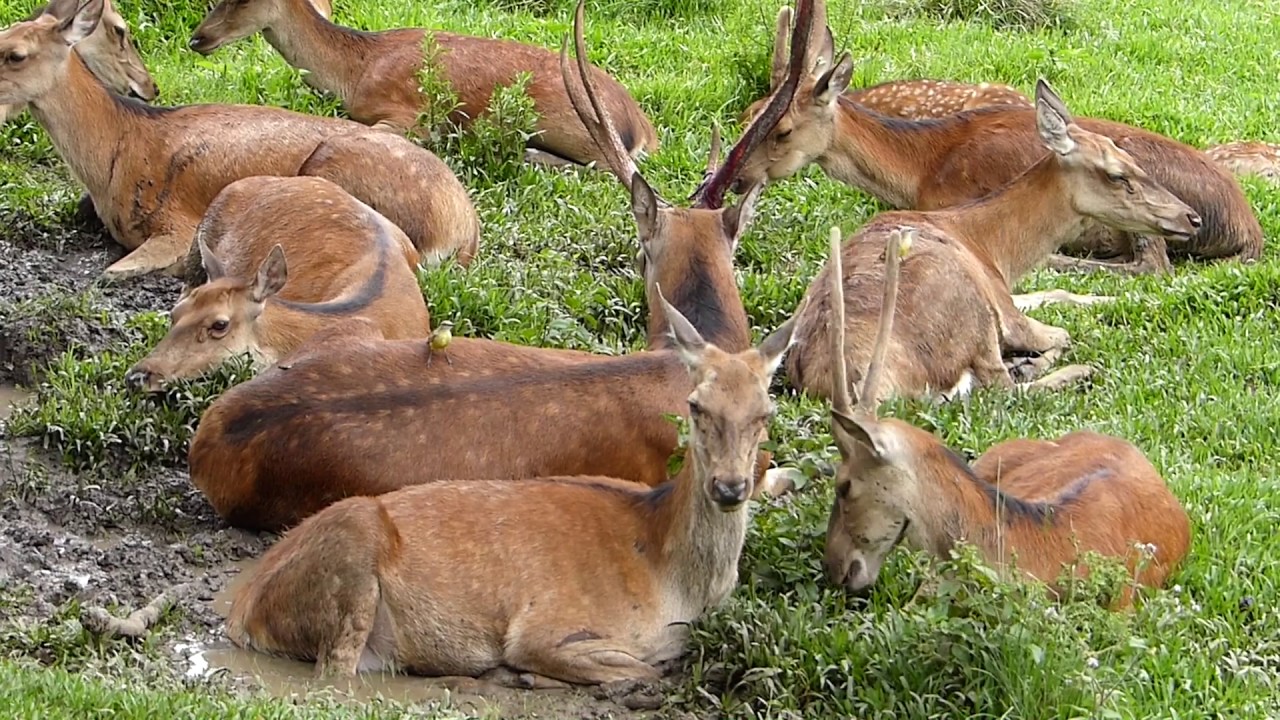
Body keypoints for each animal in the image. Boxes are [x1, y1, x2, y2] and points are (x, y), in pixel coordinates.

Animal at [223, 287, 801, 686]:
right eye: (696, 405)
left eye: (766, 412)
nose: (730, 487)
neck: (674, 586)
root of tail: (244, 611)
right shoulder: (547, 627)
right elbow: (638, 669)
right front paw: (522, 674)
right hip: (352, 549)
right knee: (334, 675)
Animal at [734, 0, 1261, 275]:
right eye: (747, 115)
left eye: (781, 130)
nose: (735, 178)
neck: (919, 168)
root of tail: (1247, 226)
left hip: (1148, 219)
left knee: (1150, 265)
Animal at [783, 79, 1200, 405]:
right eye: (1117, 174)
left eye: (1135, 160)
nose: (1191, 217)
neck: (992, 249)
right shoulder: (1003, 309)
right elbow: (1061, 332)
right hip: (972, 313)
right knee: (998, 387)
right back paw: (1068, 370)